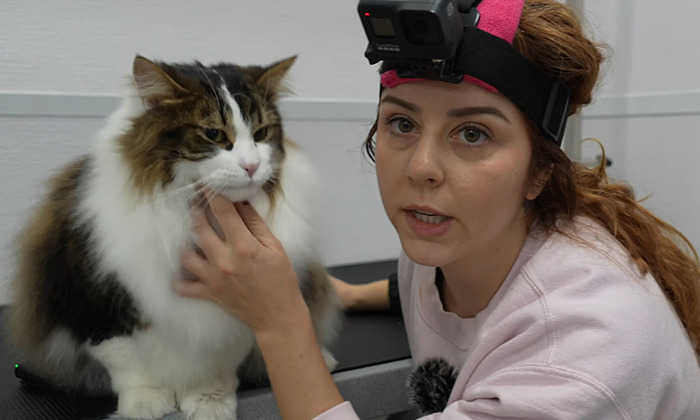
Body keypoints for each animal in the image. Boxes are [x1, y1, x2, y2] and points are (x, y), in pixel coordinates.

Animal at [7, 55, 342, 420]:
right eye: (213, 134)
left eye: (261, 134)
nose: (252, 166)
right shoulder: (94, 301)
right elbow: (126, 360)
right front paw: (146, 401)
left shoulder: (232, 318)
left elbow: (217, 363)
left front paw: (209, 400)